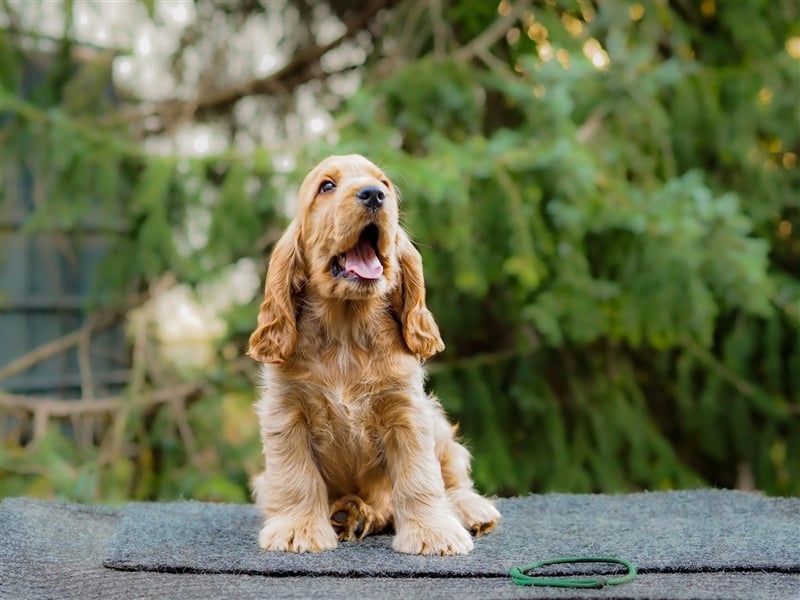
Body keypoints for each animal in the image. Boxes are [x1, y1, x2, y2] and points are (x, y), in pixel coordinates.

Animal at [248, 154, 500, 552]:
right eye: (326, 186)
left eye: (384, 183)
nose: (372, 194)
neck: (347, 331)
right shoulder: (286, 413)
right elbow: (296, 476)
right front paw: (297, 529)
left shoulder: (408, 411)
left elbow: (419, 477)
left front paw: (432, 532)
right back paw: (348, 513)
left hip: (438, 421)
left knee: (452, 475)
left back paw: (469, 509)